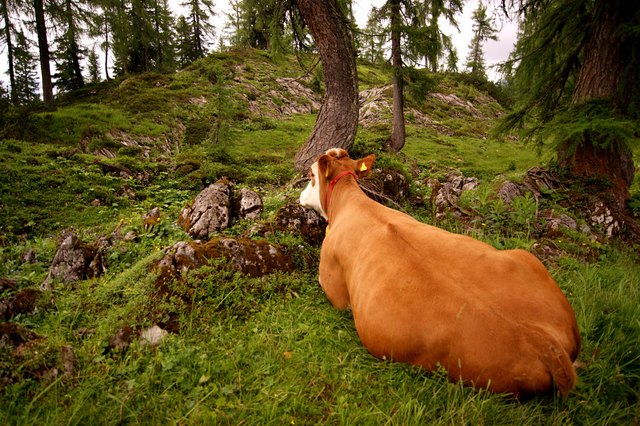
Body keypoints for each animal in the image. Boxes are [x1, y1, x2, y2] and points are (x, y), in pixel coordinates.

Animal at [299, 148, 581, 397]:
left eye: (311, 175)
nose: (299, 196)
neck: (351, 203)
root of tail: (542, 341)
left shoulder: (333, 287)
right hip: (528, 258)